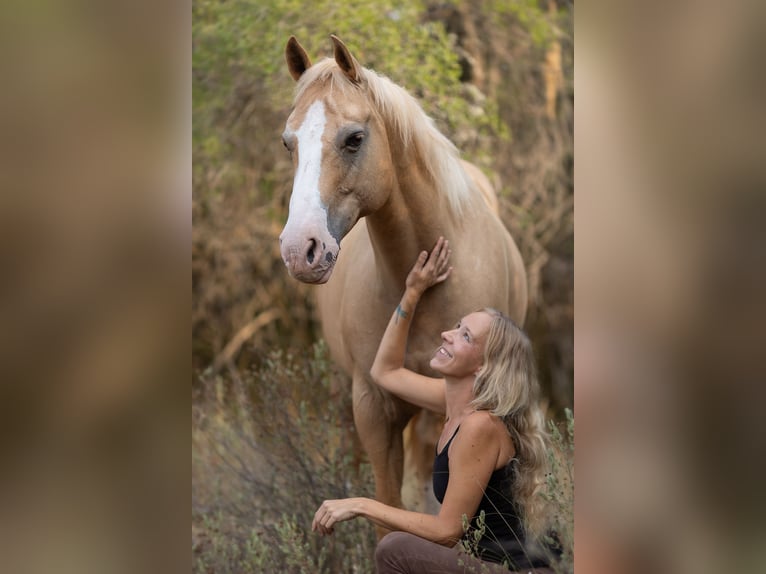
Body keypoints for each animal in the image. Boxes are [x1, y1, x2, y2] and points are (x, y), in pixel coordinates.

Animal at [279, 35, 527, 527]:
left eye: (355, 139)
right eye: (288, 143)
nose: (300, 249)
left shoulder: (443, 408)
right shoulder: (373, 407)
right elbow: (386, 508)